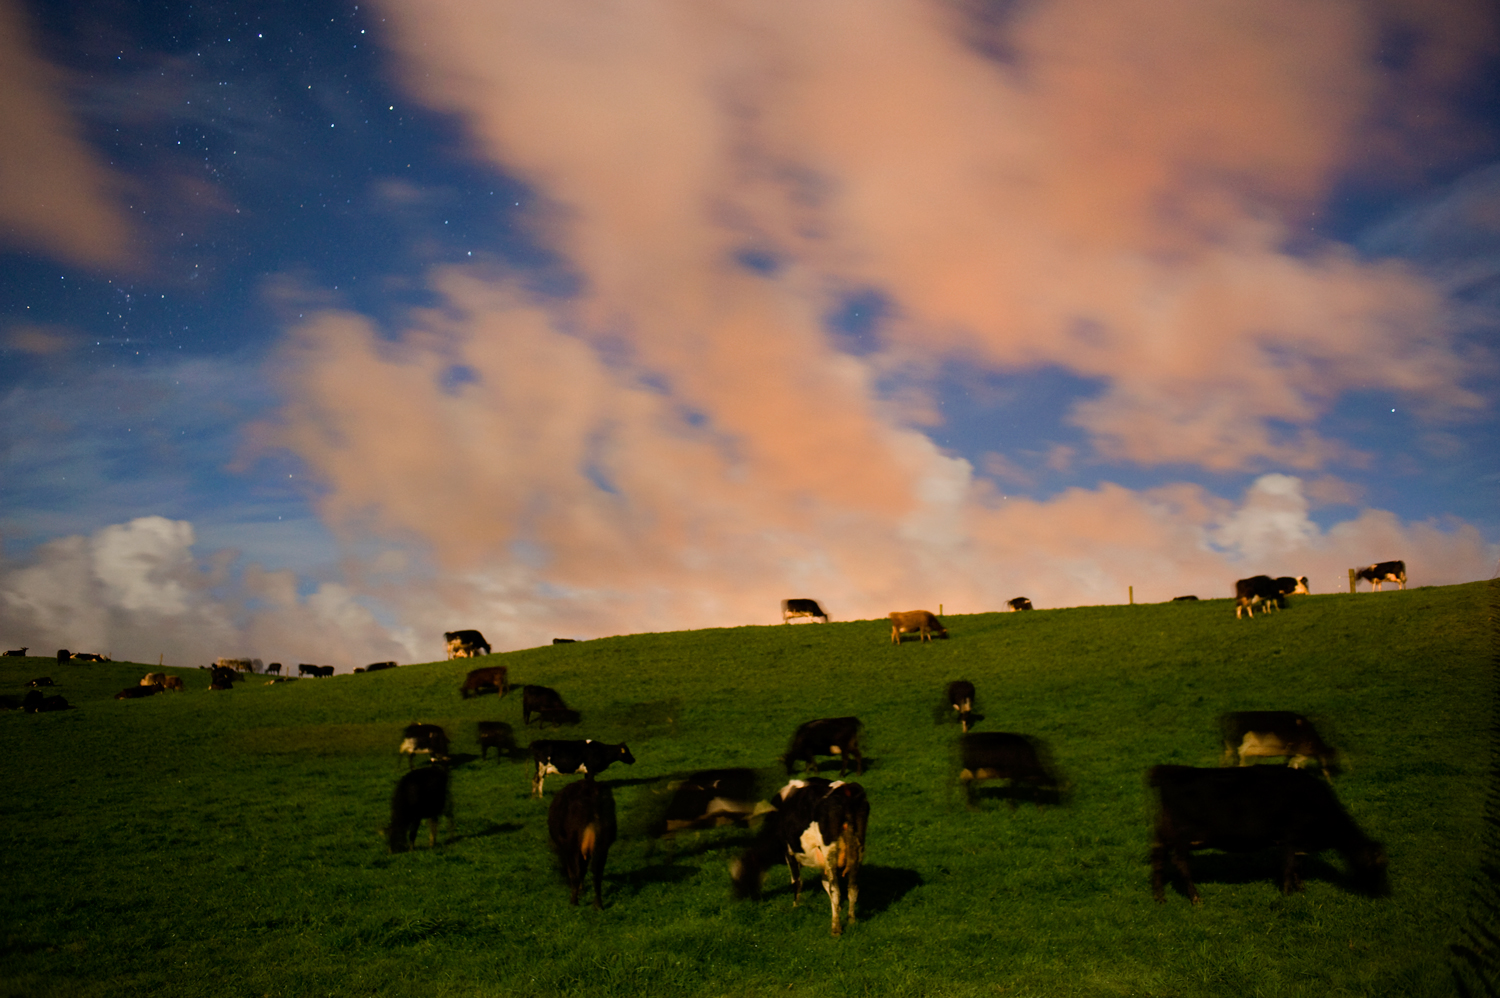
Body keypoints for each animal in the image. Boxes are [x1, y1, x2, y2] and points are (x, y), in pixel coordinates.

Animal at [549, 774, 618, 906]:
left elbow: (576, 871)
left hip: (573, 845)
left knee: (577, 873)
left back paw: (574, 902)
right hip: (602, 845)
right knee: (597, 874)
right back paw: (598, 905)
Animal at [726, 780, 870, 936]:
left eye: (740, 875)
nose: (737, 899)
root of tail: (846, 789)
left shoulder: (789, 852)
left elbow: (797, 882)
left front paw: (796, 905)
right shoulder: (820, 859)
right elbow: (824, 883)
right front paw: (837, 908)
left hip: (829, 850)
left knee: (835, 890)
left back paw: (836, 928)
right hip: (858, 848)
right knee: (853, 888)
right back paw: (851, 920)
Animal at [1152, 762, 1386, 900]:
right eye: (1376, 865)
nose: (1383, 892)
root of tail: (1172, 770)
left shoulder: (1299, 844)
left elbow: (1298, 867)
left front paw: (1301, 889)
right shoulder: (1291, 839)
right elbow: (1289, 868)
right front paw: (1287, 894)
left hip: (1166, 832)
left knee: (1159, 857)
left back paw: (1160, 896)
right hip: (1183, 836)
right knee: (1179, 862)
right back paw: (1195, 897)